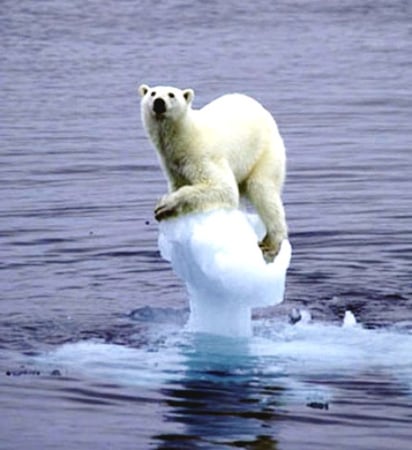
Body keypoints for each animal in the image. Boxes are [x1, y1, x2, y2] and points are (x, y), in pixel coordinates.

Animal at [138, 84, 286, 258]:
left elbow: (222, 188)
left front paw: (165, 205)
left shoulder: (202, 156)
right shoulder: (173, 165)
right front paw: (165, 212)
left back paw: (271, 243)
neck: (184, 137)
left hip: (265, 153)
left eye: (171, 94)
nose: (159, 102)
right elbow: (180, 184)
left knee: (263, 190)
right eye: (152, 93)